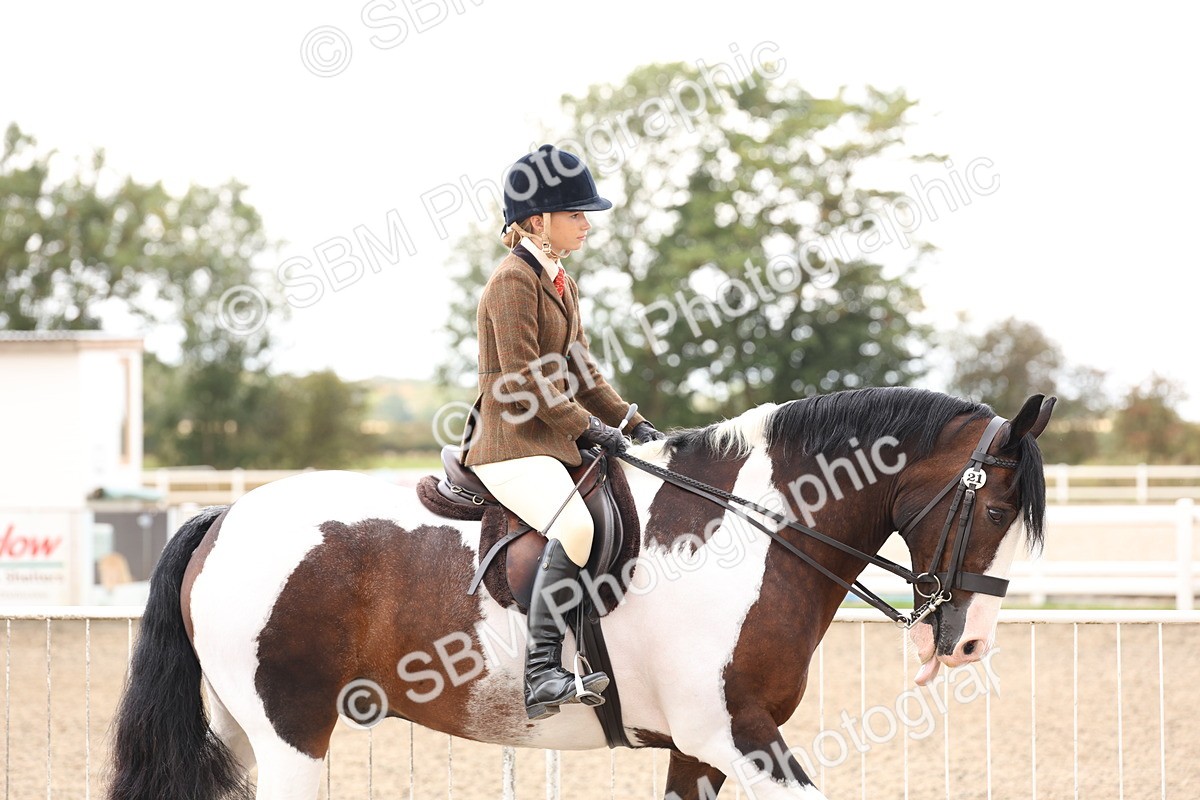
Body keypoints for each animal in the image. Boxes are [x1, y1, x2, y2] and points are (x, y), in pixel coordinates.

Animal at [106, 387, 1054, 800]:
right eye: (995, 507)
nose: (968, 643)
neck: (752, 531)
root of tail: (223, 516)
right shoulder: (736, 732)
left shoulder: (697, 749)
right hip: (291, 731)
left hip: (237, 727)